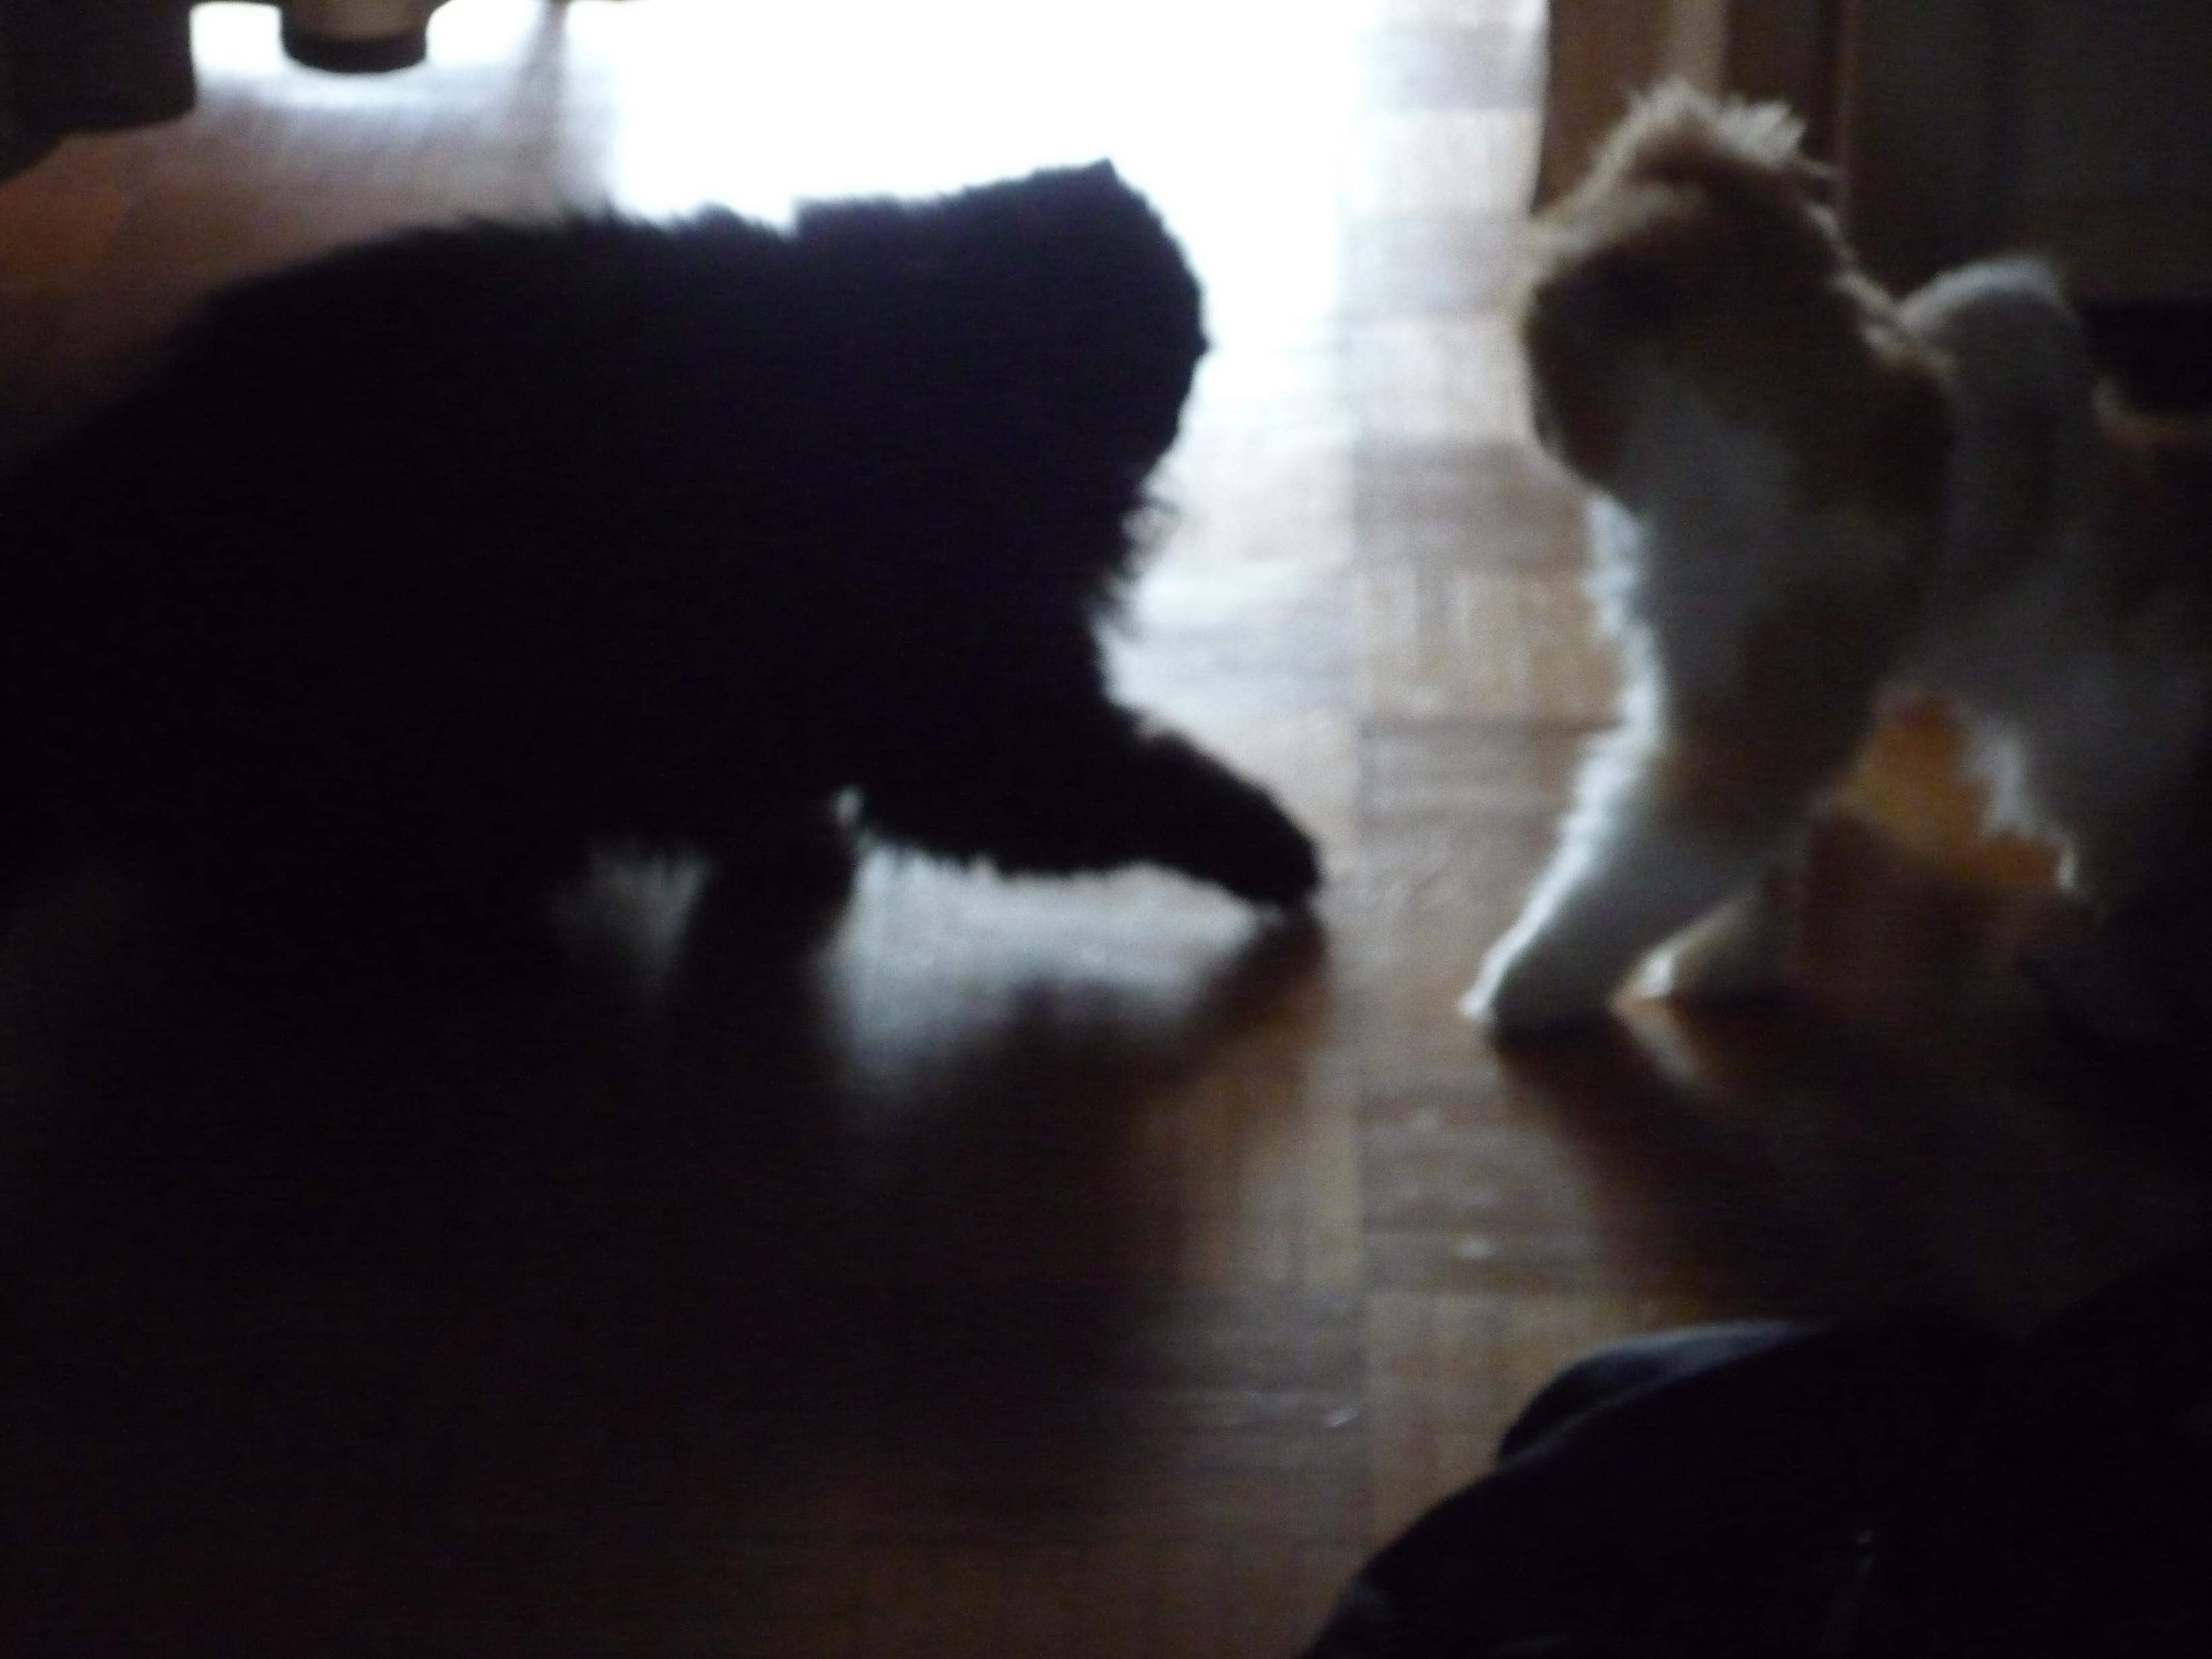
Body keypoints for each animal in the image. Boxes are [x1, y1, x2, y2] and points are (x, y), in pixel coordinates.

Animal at [0, 162, 1319, 987]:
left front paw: (786, 849)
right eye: (1175, 349)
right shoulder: (966, 717)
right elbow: (1150, 789)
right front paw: (1272, 849)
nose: (1182, 400)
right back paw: (468, 952)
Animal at [1463, 83, 2212, 1036]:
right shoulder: (1717, 689)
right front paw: (1732, 963)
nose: (1537, 425)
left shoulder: (1745, 721)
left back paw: (2112, 872)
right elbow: (1751, 866)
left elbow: (1631, 879)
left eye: (1539, 360)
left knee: (2126, 763)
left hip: (2081, 694)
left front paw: (1531, 983)